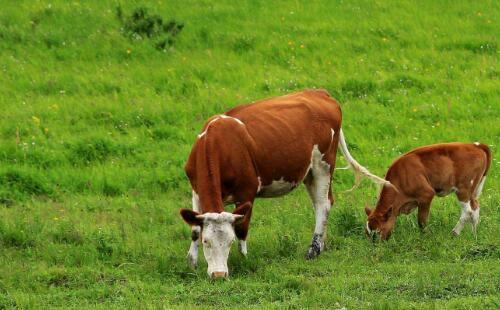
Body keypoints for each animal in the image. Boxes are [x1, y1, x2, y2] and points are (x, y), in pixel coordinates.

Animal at [180, 89, 386, 278]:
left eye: (230, 242)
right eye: (206, 241)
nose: (219, 275)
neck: (217, 144)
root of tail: (320, 92)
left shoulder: (247, 192)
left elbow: (242, 228)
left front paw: (243, 259)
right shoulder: (196, 191)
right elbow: (195, 229)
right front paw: (192, 263)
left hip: (324, 164)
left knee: (323, 204)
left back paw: (313, 250)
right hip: (309, 172)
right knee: (320, 203)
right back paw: (321, 244)